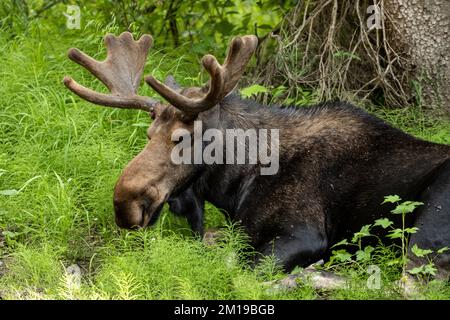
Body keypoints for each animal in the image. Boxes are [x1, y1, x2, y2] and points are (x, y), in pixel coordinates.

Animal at [63, 31, 450, 280]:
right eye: (148, 134)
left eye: (181, 138)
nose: (125, 204)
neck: (236, 184)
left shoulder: (302, 234)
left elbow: (235, 266)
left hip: (425, 230)